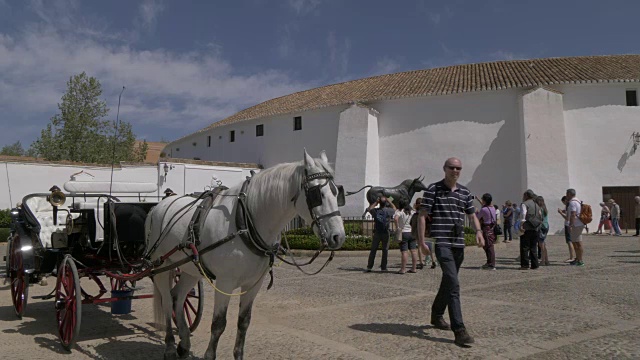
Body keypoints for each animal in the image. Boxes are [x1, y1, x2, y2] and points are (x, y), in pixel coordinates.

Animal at [146, 150, 344, 358]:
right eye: (317, 194)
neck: (245, 222)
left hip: (191, 269)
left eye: (337, 193)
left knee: (178, 297)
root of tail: (158, 206)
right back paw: (169, 345)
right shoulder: (224, 283)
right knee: (167, 301)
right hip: (161, 266)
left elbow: (244, 322)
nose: (338, 236)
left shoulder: (253, 284)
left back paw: (183, 343)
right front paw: (210, 355)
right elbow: (219, 324)